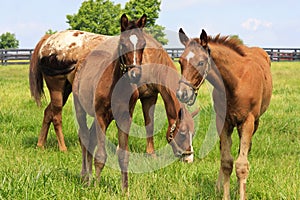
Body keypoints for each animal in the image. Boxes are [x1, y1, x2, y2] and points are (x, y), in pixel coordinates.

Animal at [71, 14, 196, 191]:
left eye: (143, 45)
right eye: (183, 133)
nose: (188, 158)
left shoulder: (147, 98)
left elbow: (147, 127)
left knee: (91, 137)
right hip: (80, 108)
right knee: (84, 137)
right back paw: (84, 177)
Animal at [177, 28, 274, 200]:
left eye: (201, 62)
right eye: (180, 62)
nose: (182, 93)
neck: (235, 83)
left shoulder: (247, 122)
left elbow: (242, 164)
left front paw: (241, 194)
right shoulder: (223, 121)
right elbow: (226, 161)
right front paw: (224, 193)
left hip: (254, 123)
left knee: (245, 151)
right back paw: (219, 186)